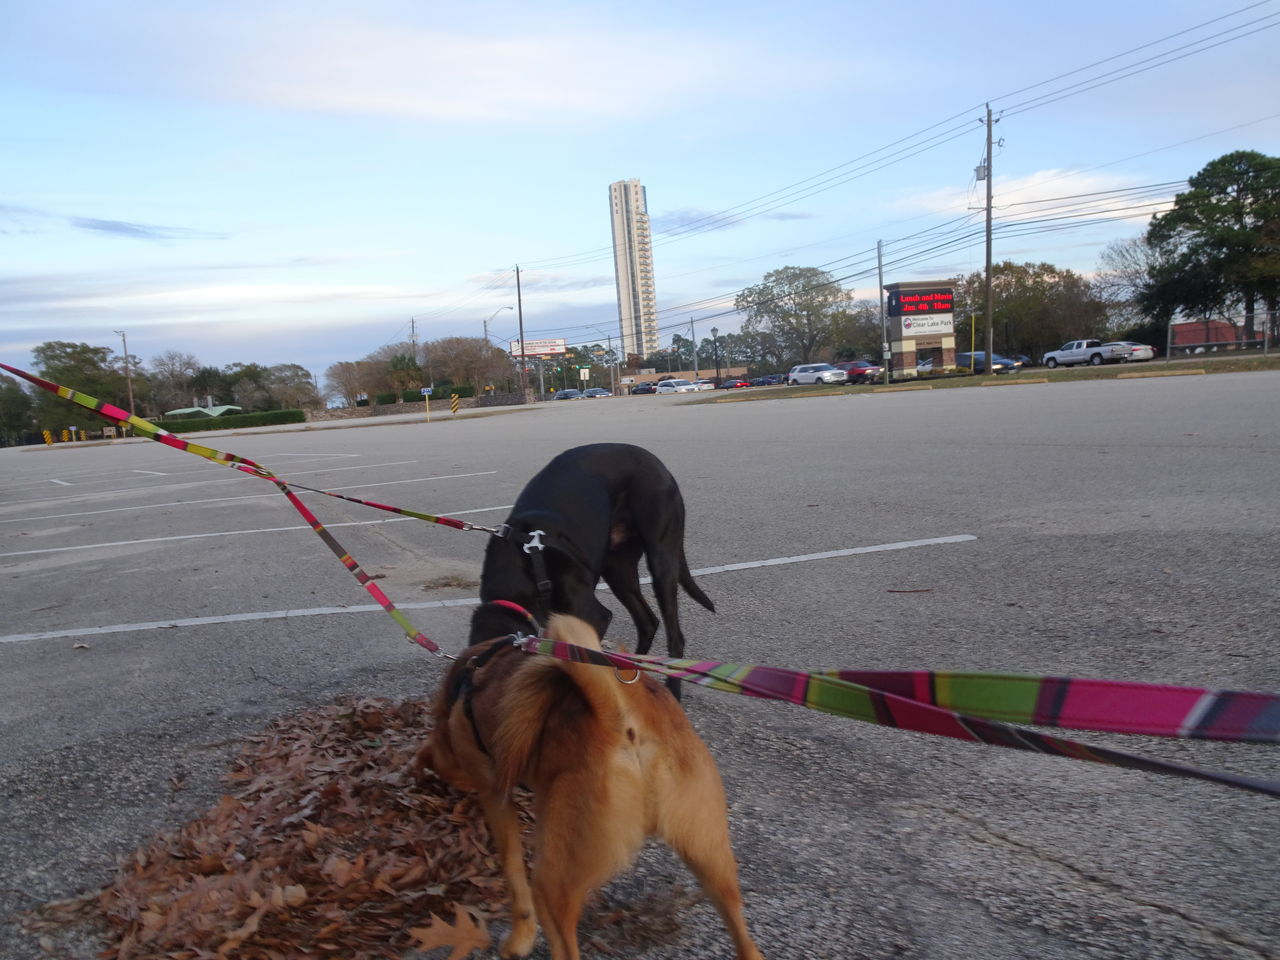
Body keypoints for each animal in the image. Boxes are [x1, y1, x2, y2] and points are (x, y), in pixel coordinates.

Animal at [420, 614, 764, 960]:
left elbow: (514, 874)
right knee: (746, 942)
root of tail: (619, 712)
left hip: (552, 884)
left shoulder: (492, 793)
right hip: (713, 862)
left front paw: (520, 939)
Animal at [468, 443, 714, 668]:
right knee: (648, 622)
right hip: (617, 569)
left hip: (660, 560)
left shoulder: (592, 616)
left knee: (675, 638)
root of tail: (657, 463)